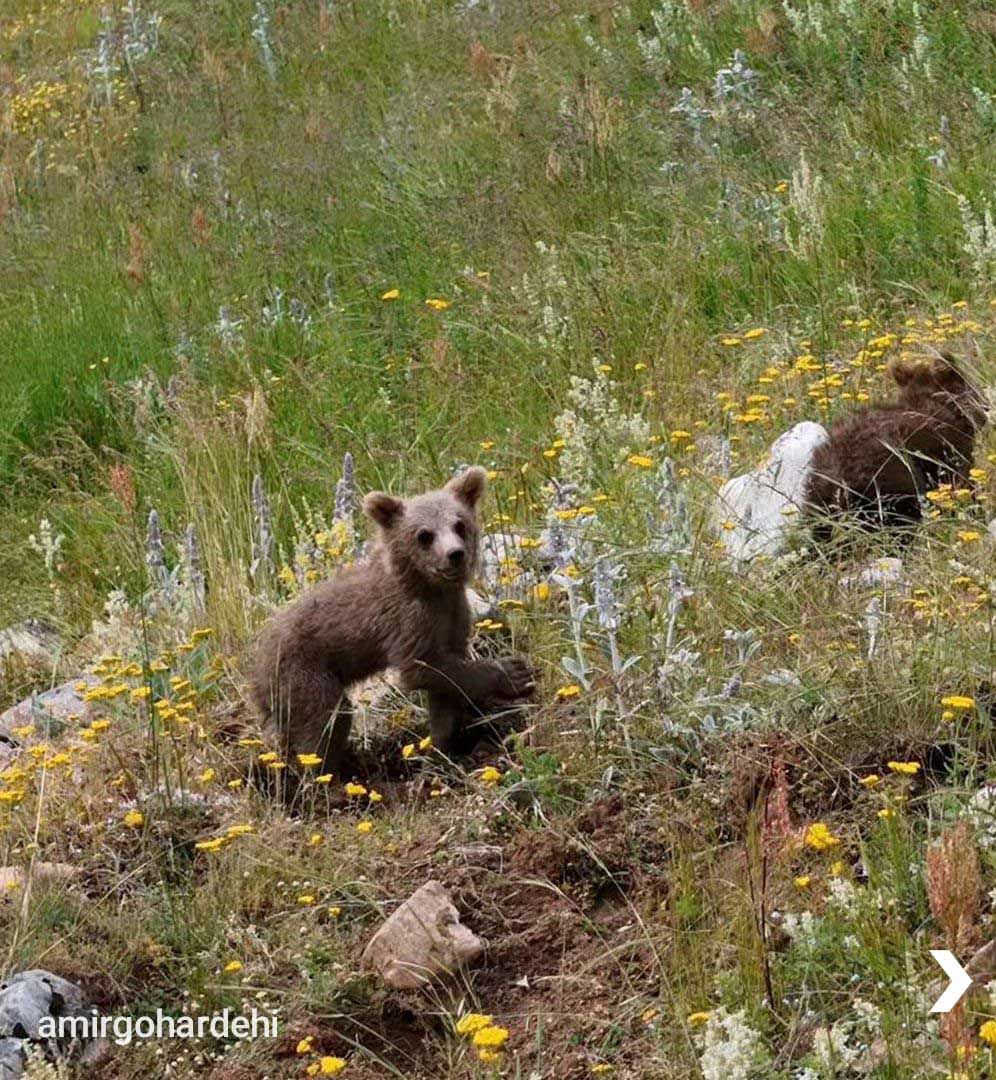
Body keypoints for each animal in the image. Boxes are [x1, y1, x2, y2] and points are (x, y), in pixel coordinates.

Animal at [248, 468, 535, 781]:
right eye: (424, 535)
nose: (455, 554)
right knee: (324, 722)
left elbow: (445, 688)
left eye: (460, 524)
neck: (430, 588)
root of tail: (254, 675)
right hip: (302, 673)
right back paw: (327, 777)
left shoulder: (453, 618)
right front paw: (514, 673)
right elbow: (422, 668)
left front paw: (442, 749)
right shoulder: (408, 621)